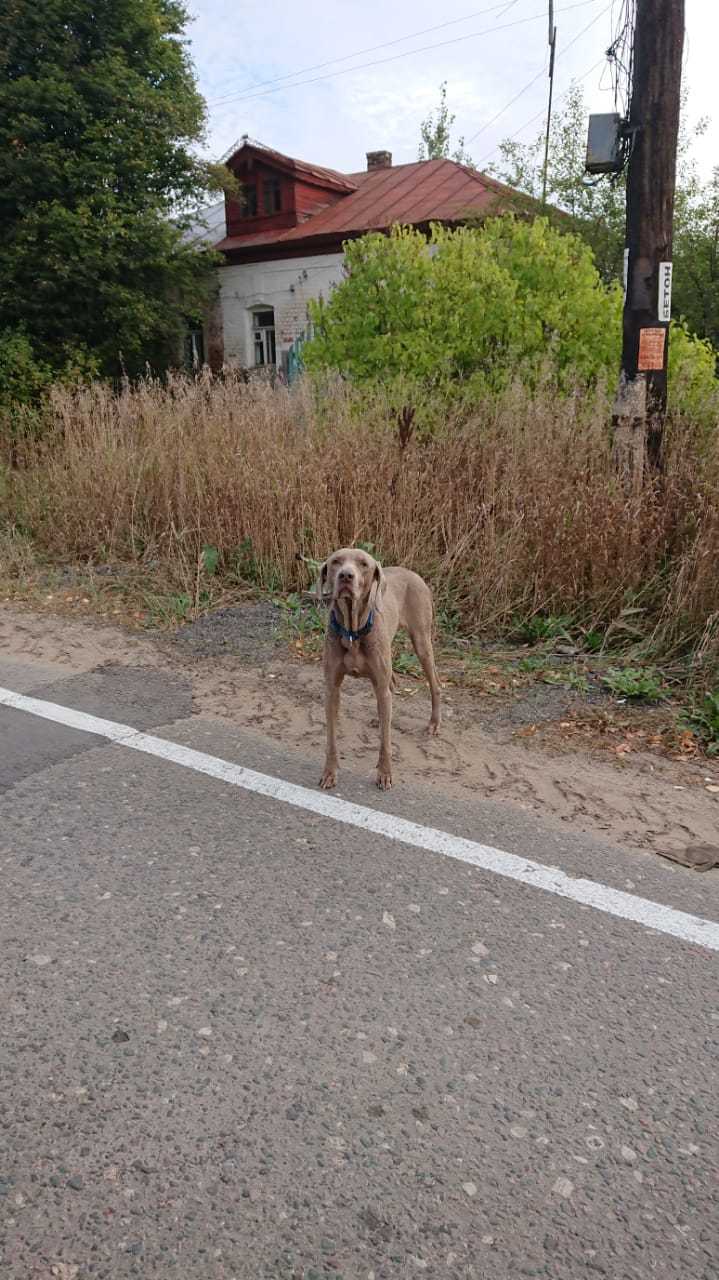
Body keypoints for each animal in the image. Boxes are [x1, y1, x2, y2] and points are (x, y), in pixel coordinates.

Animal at [316, 547, 440, 788]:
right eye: (336, 561)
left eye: (363, 564)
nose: (346, 576)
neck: (353, 631)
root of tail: (414, 574)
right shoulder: (331, 688)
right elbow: (331, 739)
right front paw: (329, 773)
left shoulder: (380, 683)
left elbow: (385, 742)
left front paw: (384, 773)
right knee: (392, 686)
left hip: (421, 641)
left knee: (435, 684)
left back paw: (433, 723)